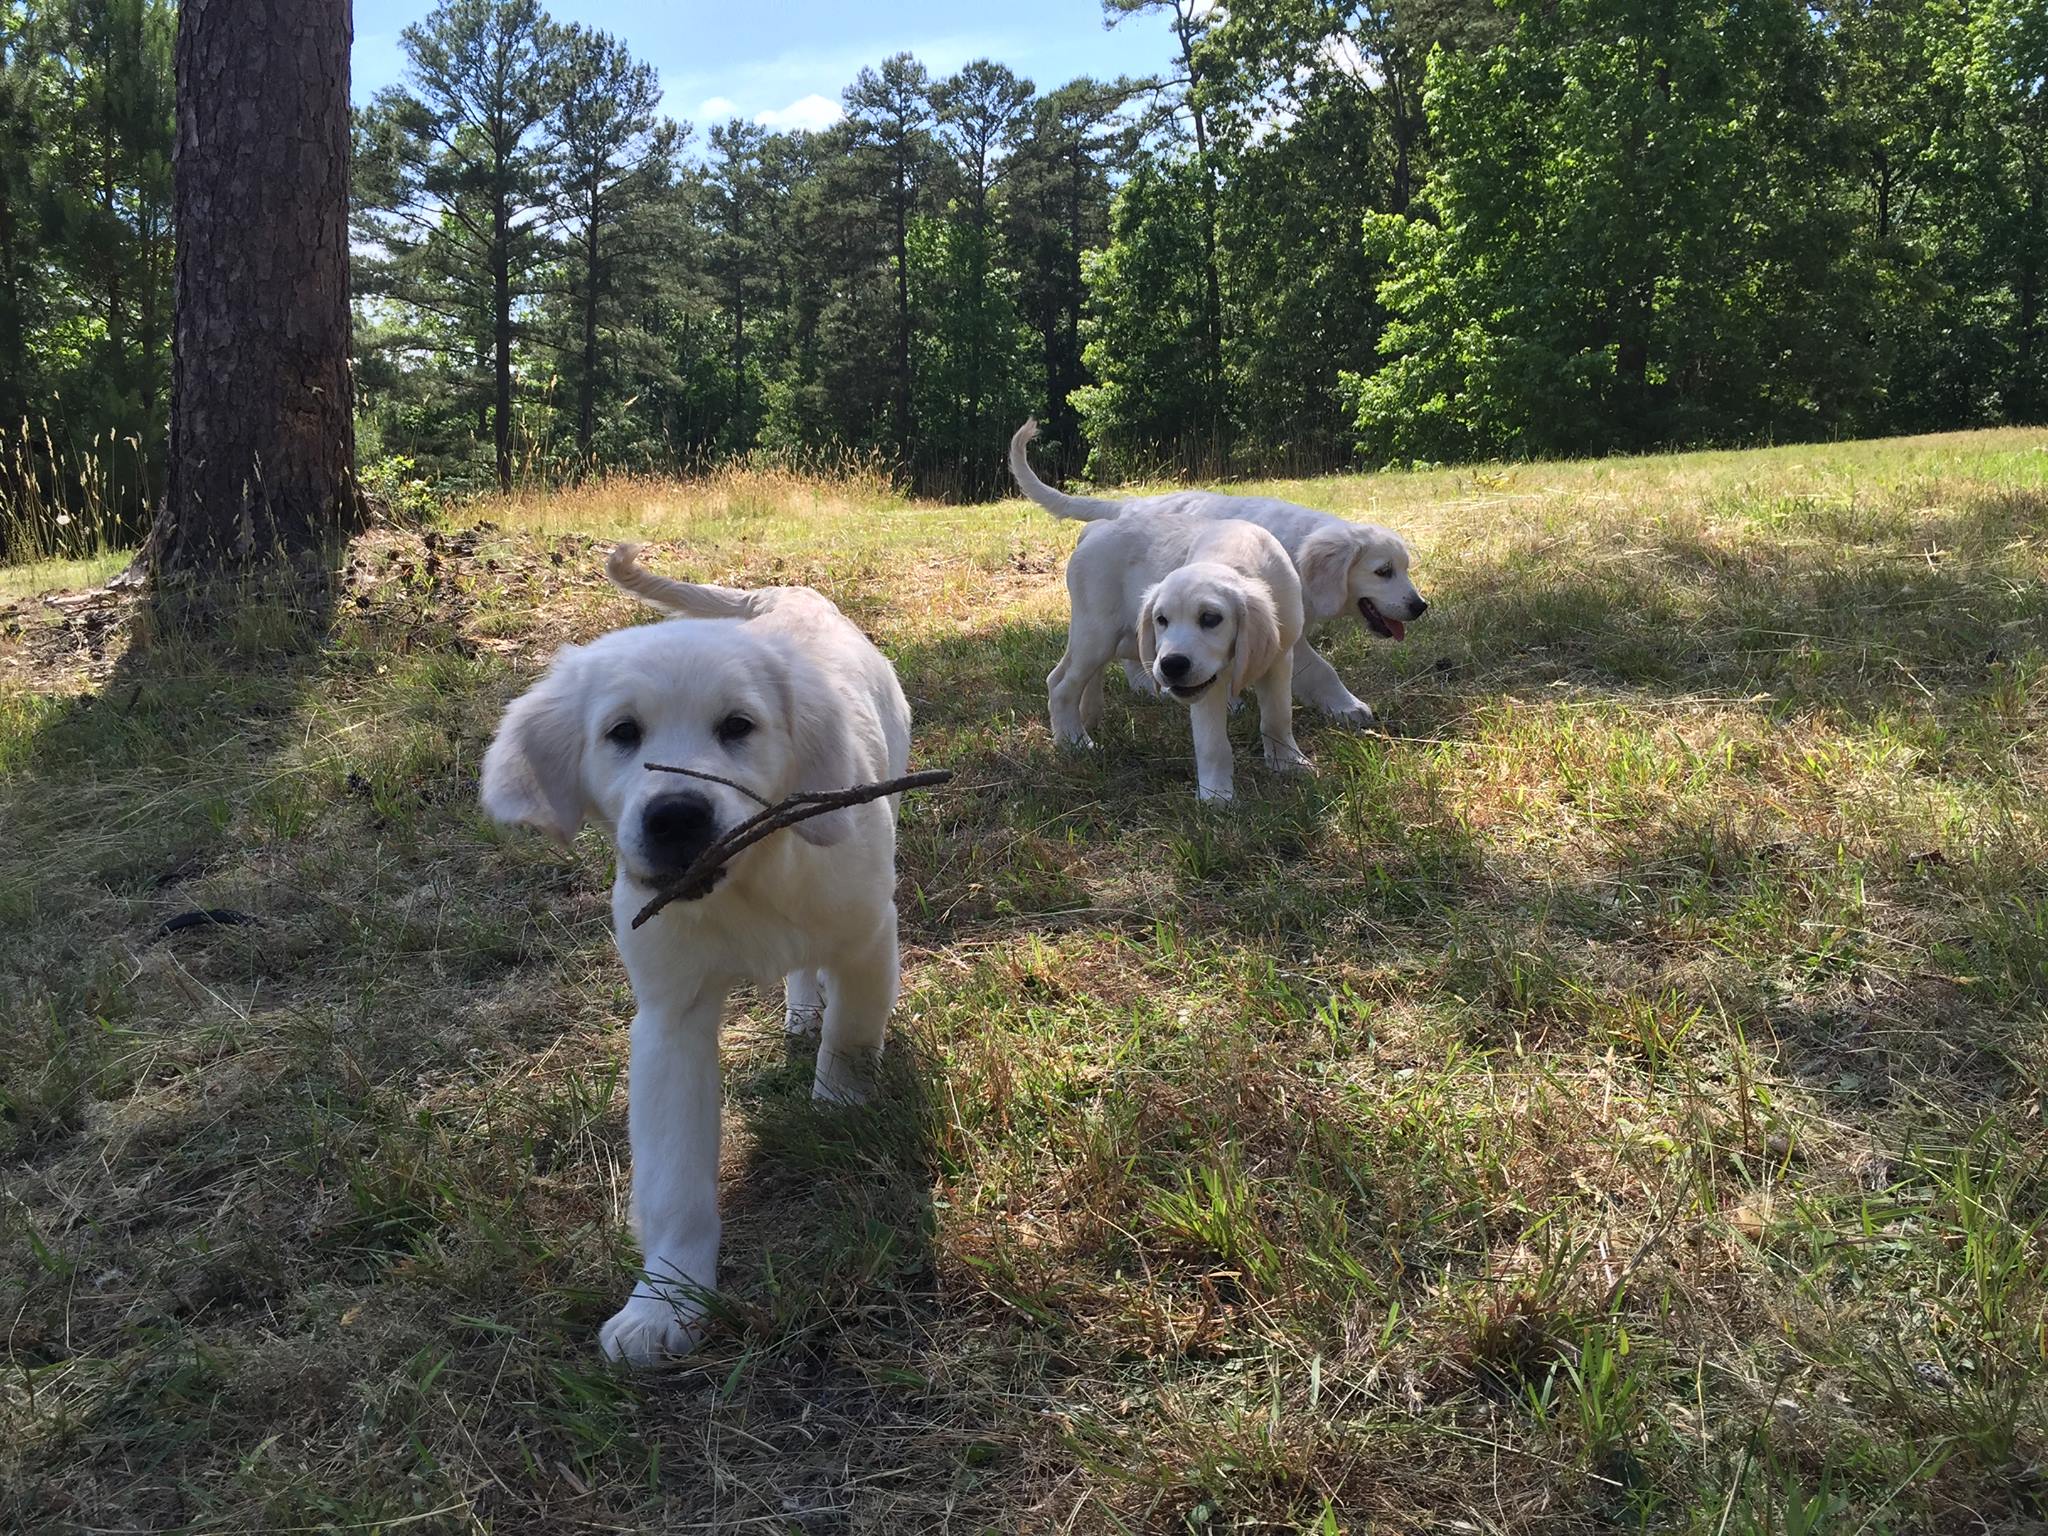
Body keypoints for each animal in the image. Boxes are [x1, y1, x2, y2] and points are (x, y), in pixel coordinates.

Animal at [481, 548, 913, 1368]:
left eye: (737, 727)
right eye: (621, 733)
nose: (677, 816)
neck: (747, 881)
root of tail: (781, 596)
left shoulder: (870, 938)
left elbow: (852, 1040)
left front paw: (837, 1112)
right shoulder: (669, 1018)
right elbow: (675, 1180)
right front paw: (665, 1301)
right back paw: (800, 1008)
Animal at [1007, 417, 1425, 729]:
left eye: (1404, 569)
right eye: (1383, 571)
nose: (1420, 607)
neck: (1293, 550)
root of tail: (1125, 507)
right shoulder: (1289, 635)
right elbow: (1322, 670)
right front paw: (1348, 707)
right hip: (1105, 621)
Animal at [1048, 518, 1302, 806]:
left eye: (1210, 618)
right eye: (1161, 620)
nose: (1171, 665)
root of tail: (1094, 528)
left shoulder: (1280, 656)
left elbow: (1278, 716)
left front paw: (1288, 763)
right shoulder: (1208, 686)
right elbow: (1212, 742)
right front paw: (1216, 796)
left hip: (1114, 640)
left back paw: (1088, 717)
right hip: (1095, 634)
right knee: (1060, 685)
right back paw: (1075, 742)